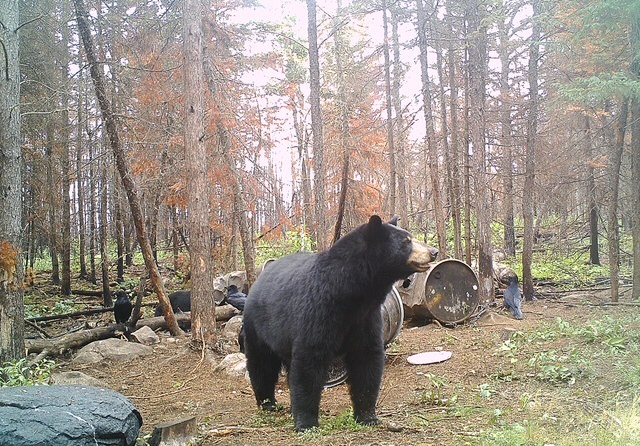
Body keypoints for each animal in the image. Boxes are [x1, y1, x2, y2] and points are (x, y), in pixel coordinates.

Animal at [242, 215, 438, 431]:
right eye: (406, 241)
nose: (433, 252)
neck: (351, 292)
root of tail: (260, 276)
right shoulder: (318, 310)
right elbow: (310, 359)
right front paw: (306, 423)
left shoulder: (366, 317)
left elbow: (366, 358)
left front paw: (367, 416)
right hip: (258, 325)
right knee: (262, 363)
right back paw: (267, 403)